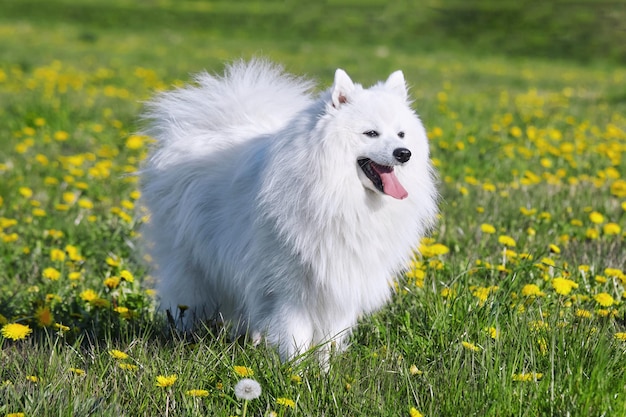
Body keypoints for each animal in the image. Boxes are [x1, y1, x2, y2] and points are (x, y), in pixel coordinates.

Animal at [140, 59, 436, 360]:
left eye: (401, 134)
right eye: (371, 133)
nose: (404, 153)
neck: (337, 192)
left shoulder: (341, 281)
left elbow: (328, 340)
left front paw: (323, 369)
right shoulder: (290, 287)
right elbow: (296, 336)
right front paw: (295, 369)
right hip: (192, 266)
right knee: (186, 302)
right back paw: (182, 338)